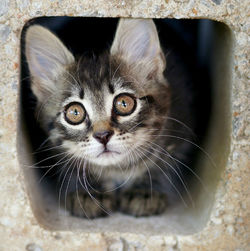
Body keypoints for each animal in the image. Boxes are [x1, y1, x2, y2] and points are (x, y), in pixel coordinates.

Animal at [25, 18, 197, 218]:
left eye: (124, 103)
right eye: (75, 113)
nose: (103, 136)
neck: (117, 168)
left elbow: (163, 163)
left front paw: (145, 191)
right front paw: (88, 192)